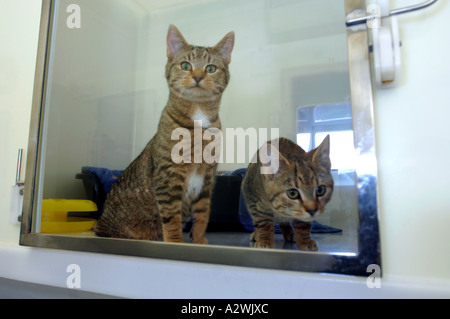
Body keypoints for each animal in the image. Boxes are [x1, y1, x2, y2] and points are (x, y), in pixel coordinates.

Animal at [95, 25, 236, 244]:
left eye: (210, 68)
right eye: (186, 65)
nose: (197, 77)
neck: (198, 118)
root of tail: (99, 222)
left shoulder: (207, 177)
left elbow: (202, 213)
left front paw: (198, 239)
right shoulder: (168, 176)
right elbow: (171, 216)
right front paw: (176, 241)